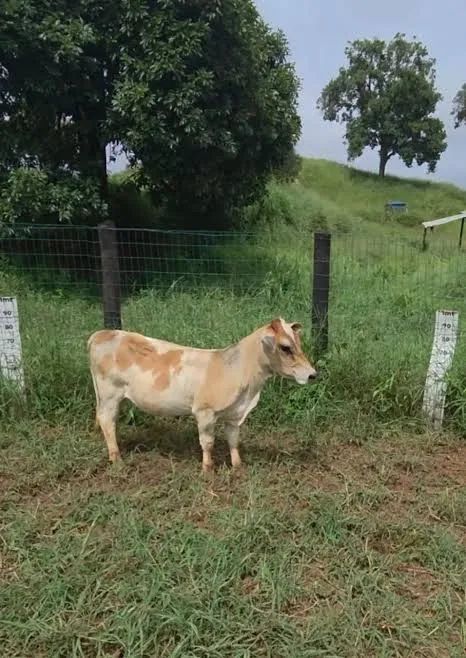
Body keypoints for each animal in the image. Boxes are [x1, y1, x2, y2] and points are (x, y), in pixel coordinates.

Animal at [87, 317, 317, 472]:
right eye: (285, 347)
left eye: (299, 344)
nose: (313, 374)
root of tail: (102, 333)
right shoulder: (204, 411)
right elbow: (207, 442)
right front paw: (208, 468)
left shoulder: (235, 415)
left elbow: (233, 440)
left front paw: (237, 466)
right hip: (110, 393)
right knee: (108, 421)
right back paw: (116, 459)